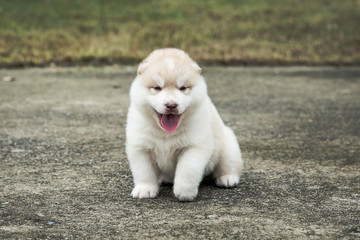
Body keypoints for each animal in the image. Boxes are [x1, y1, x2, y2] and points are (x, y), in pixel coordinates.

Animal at [125, 48, 243, 201]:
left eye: (182, 88)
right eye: (157, 88)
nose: (171, 105)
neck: (165, 133)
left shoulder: (194, 146)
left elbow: (187, 169)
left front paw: (184, 192)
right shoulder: (140, 148)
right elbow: (144, 171)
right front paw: (145, 189)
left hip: (228, 146)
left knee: (228, 165)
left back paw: (227, 178)